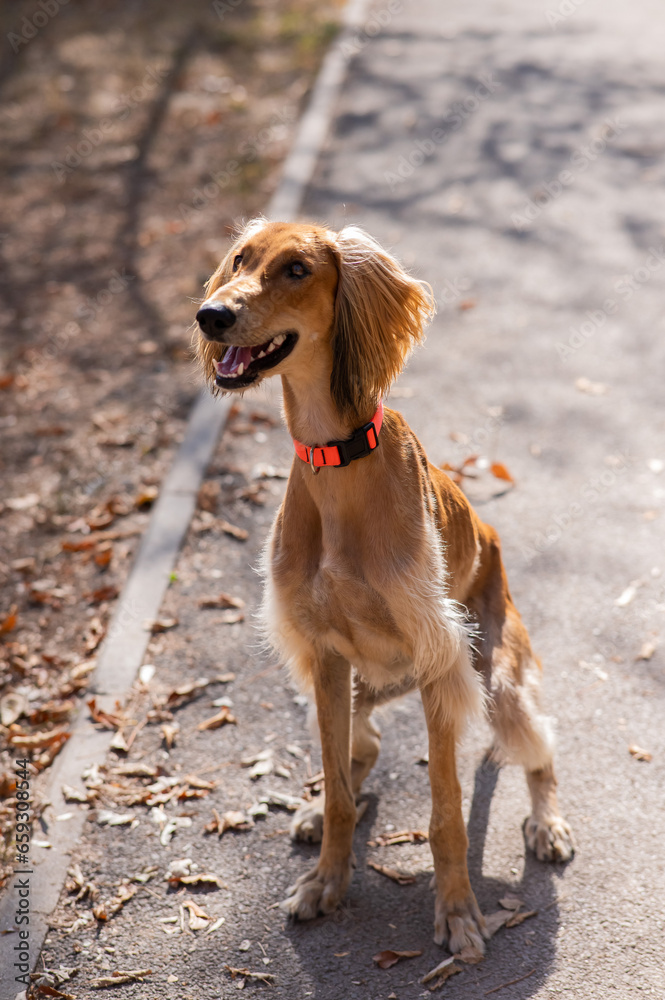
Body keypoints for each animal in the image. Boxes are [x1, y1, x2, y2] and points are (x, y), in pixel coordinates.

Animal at [195, 219, 572, 952]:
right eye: (240, 259)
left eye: (296, 269)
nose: (211, 315)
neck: (335, 460)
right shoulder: (322, 657)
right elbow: (342, 789)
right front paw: (326, 878)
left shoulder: (438, 661)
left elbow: (445, 814)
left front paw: (457, 912)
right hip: (358, 683)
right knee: (360, 748)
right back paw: (317, 809)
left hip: (493, 678)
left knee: (538, 749)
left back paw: (545, 821)